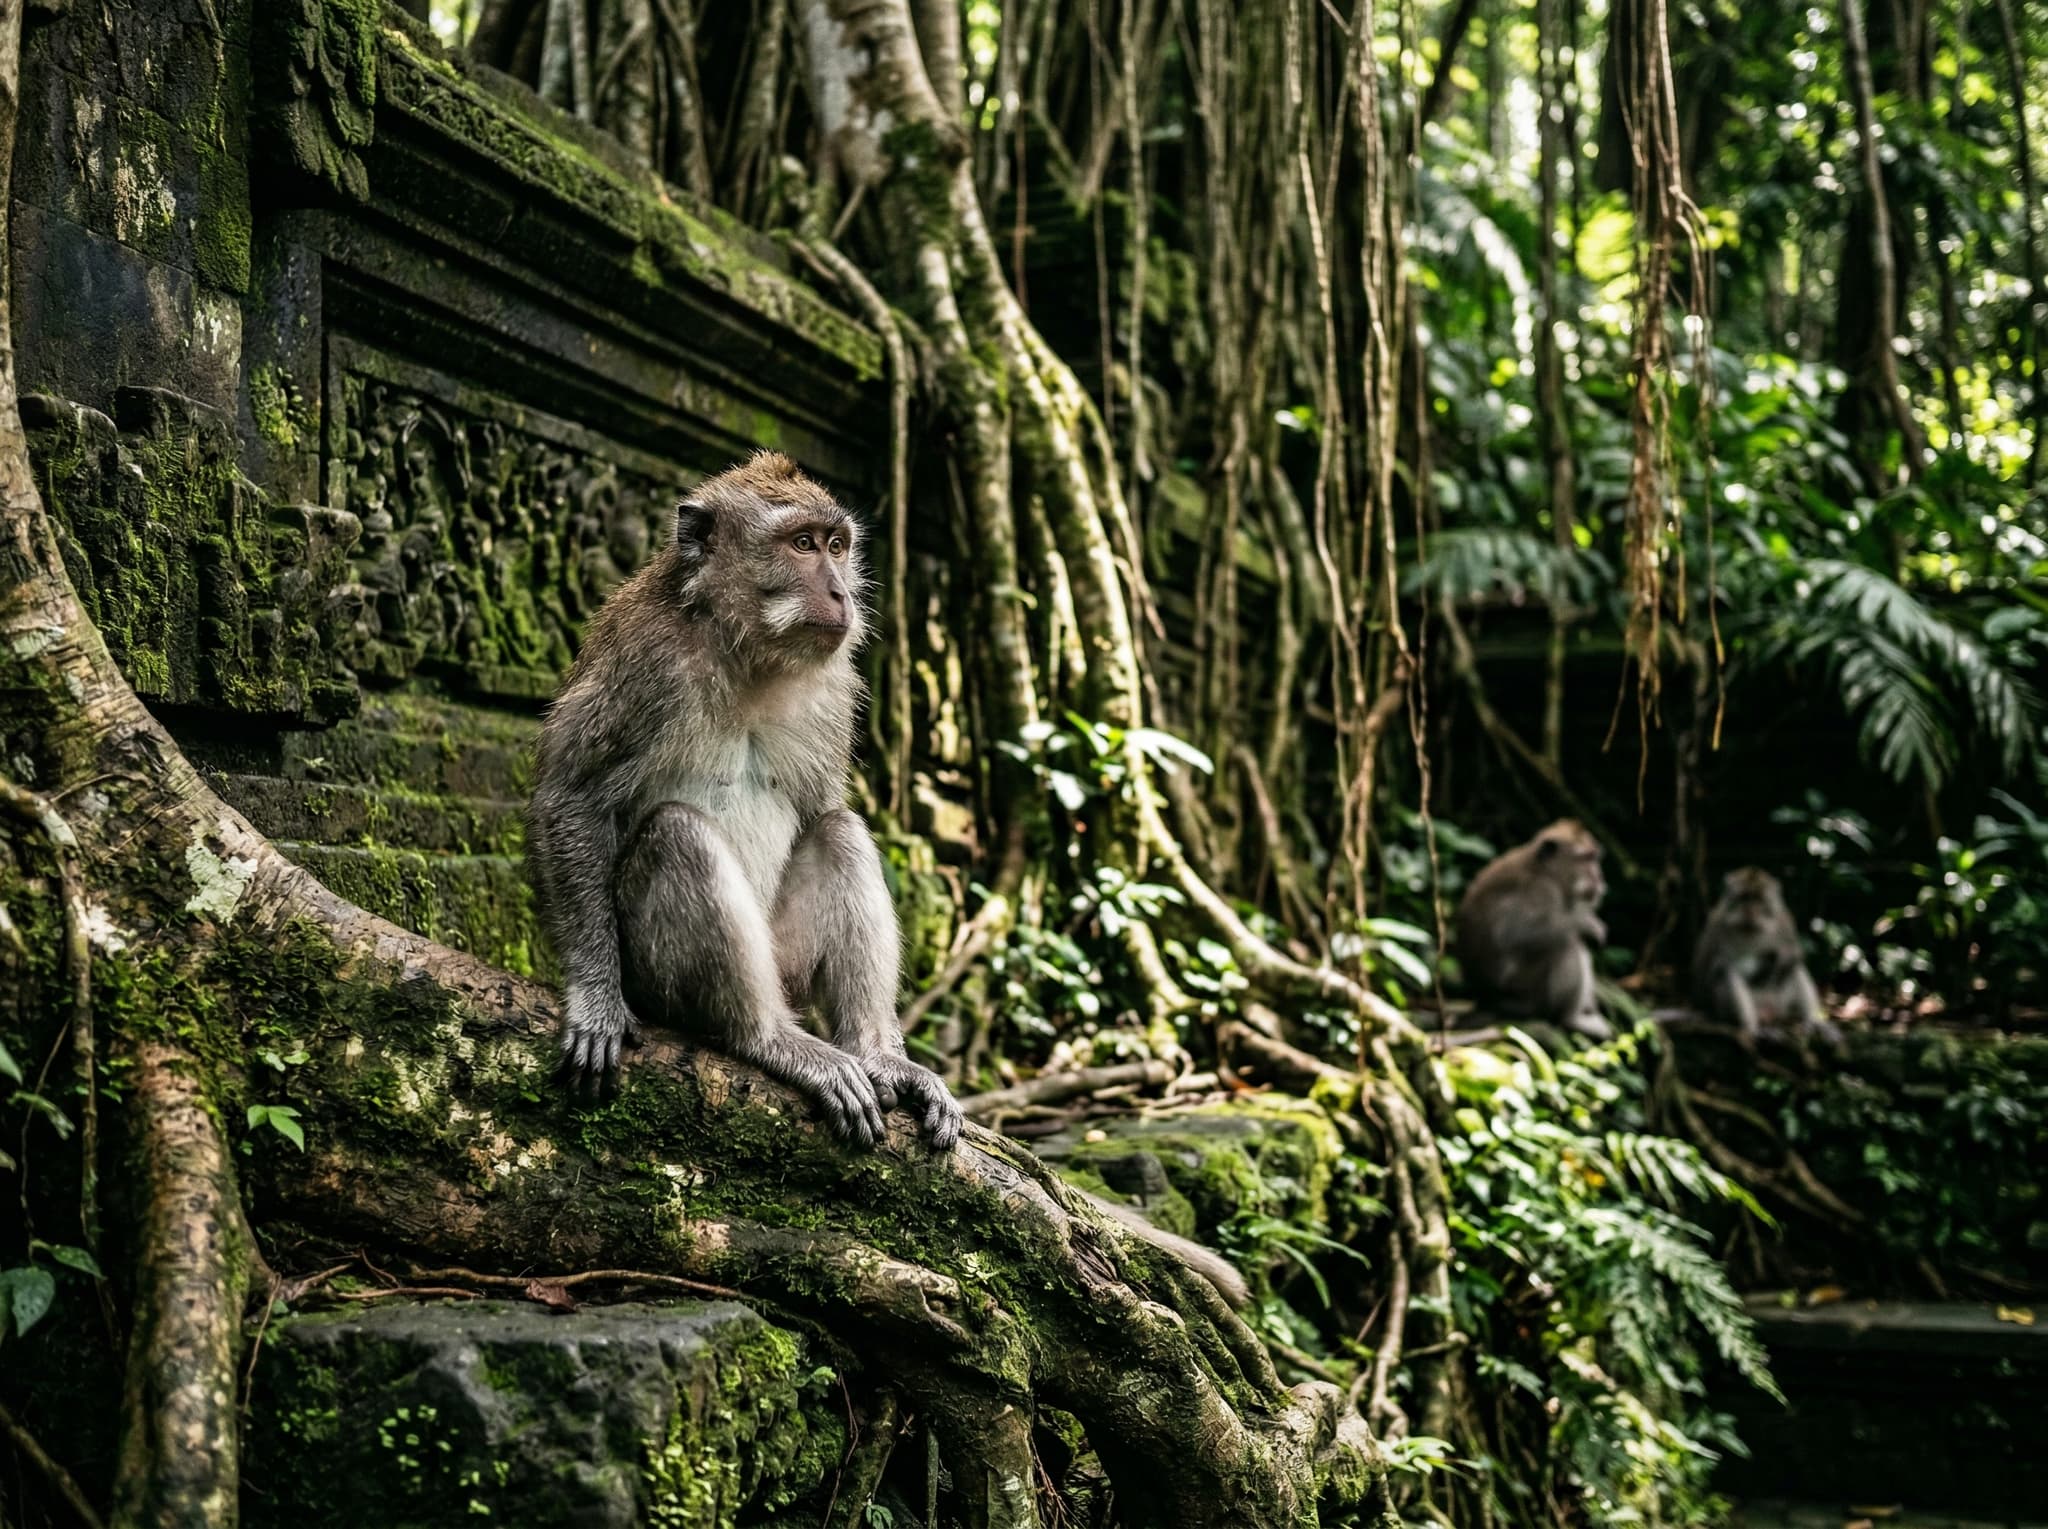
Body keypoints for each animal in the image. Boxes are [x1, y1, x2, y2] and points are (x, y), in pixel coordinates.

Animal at [526, 451, 961, 1150]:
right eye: (802, 544)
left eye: (837, 547)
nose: (841, 593)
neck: (747, 652)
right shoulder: (645, 663)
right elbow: (573, 796)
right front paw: (594, 997)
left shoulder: (835, 688)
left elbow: (820, 808)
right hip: (658, 978)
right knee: (679, 832)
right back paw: (768, 1038)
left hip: (786, 960)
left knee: (837, 829)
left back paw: (874, 1052)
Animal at [1454, 819, 1613, 1039]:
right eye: (1584, 859)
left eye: (1594, 858)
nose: (1599, 877)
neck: (1547, 872)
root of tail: (1487, 999)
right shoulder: (1541, 891)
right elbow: (1517, 934)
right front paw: (1586, 923)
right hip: (1523, 990)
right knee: (1566, 945)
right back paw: (1571, 1019)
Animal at [1692, 867, 1836, 1050]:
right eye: (1744, 897)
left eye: (1758, 899)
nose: (1750, 912)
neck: (1750, 928)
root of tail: (1767, 1014)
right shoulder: (1716, 925)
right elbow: (1709, 971)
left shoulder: (1784, 921)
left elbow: (1794, 954)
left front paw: (1779, 958)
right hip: (1725, 1009)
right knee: (1724, 971)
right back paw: (1752, 1028)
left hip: (1781, 1005)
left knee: (1794, 967)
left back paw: (1814, 1023)